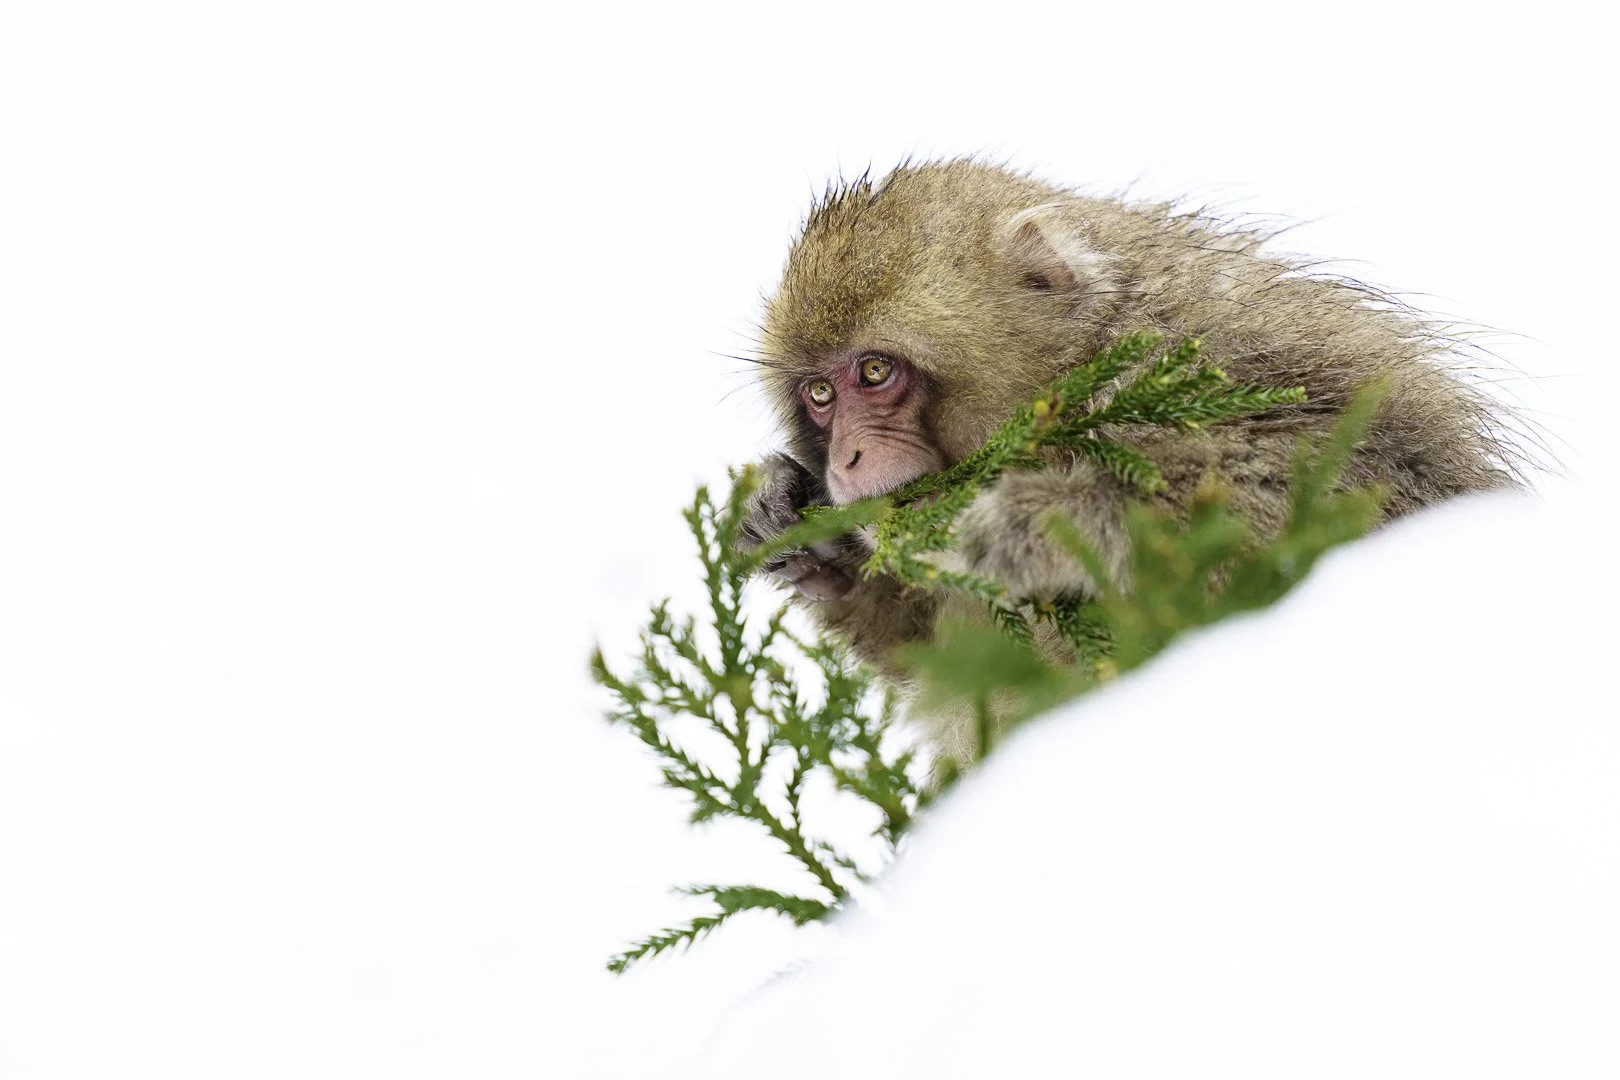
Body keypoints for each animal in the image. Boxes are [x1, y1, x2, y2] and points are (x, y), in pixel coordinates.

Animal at [736, 160, 1523, 757]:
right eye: (818, 395)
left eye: (874, 372)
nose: (847, 458)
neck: (1079, 371)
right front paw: (806, 538)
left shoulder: (1205, 364)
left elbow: (1344, 483)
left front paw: (1047, 519)